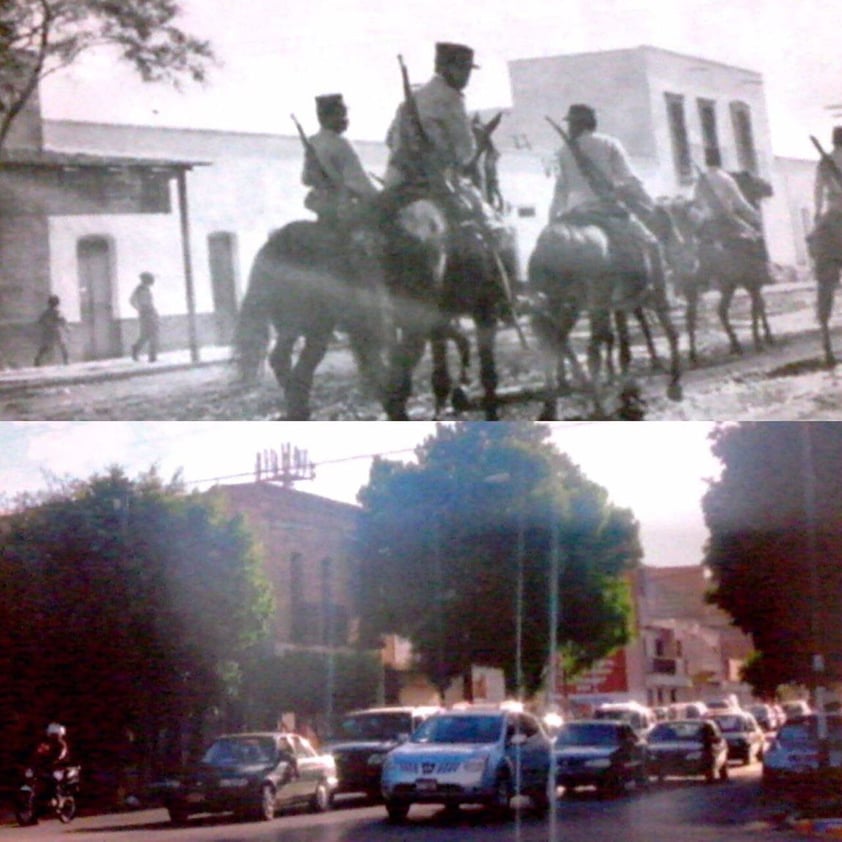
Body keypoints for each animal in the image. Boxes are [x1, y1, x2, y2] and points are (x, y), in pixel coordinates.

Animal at [233, 218, 390, 418]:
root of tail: (278, 243)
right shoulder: (364, 317)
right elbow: (370, 351)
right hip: (316, 325)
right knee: (301, 363)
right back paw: (299, 408)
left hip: (290, 322)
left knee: (281, 358)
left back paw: (293, 405)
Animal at [528, 212, 684, 418]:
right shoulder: (642, 296)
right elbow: (668, 333)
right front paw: (672, 384)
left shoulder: (617, 304)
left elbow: (623, 345)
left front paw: (628, 394)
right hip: (592, 304)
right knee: (589, 350)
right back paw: (597, 405)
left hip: (563, 305)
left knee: (553, 343)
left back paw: (554, 405)